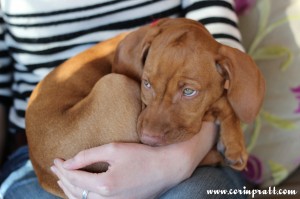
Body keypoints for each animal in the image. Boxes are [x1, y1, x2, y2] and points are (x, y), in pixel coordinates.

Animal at [25, 17, 264, 197]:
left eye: (189, 92)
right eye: (146, 84)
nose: (149, 138)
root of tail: (44, 173)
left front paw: (233, 142)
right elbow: (222, 100)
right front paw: (234, 143)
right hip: (116, 84)